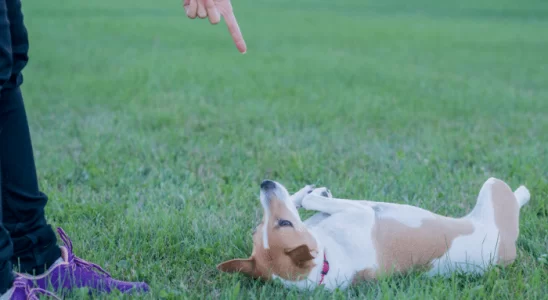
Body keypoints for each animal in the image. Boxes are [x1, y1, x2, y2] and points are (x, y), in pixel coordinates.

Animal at [217, 177, 532, 292]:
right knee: (516, 197)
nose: (265, 183)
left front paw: (305, 192)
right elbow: (315, 202)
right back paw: (523, 193)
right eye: (284, 223)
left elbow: (307, 203)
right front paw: (313, 193)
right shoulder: (360, 213)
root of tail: (507, 250)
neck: (325, 264)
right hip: (493, 188)